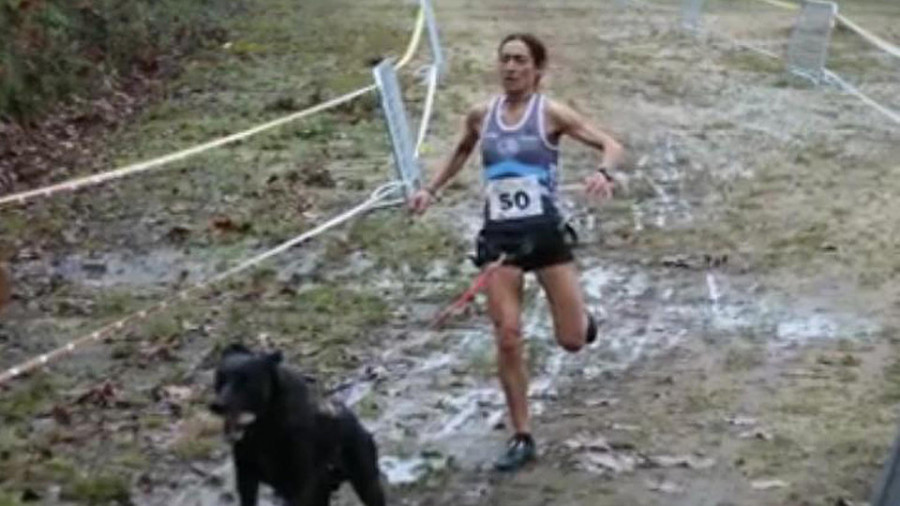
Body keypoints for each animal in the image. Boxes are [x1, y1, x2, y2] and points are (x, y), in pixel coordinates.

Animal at [209, 344, 384, 506]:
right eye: (220, 378)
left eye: (246, 381)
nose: (217, 406)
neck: (264, 430)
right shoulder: (246, 478)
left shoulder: (300, 489)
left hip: (366, 484)